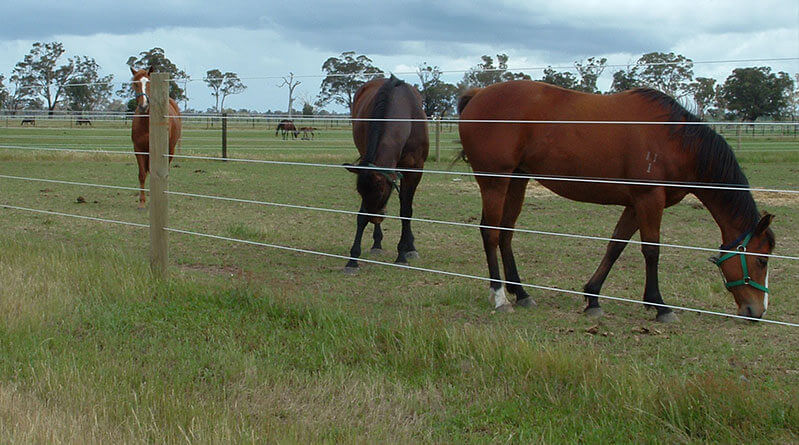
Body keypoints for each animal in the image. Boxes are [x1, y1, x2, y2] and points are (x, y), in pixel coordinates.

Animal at [130, 67, 183, 209]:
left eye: (150, 83)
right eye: (135, 84)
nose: (143, 106)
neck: (146, 124)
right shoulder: (138, 149)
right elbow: (142, 174)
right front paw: (142, 202)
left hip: (170, 150)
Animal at [344, 75, 432, 270]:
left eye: (380, 192)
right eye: (360, 192)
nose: (375, 219)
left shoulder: (415, 170)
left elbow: (406, 211)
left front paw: (402, 254)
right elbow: (361, 214)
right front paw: (353, 259)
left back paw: (410, 246)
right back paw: (377, 243)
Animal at [460, 80, 780, 320]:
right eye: (761, 260)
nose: (757, 311)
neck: (675, 141)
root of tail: (478, 95)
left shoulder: (636, 204)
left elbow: (616, 246)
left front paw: (592, 298)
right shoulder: (649, 199)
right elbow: (651, 250)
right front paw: (660, 306)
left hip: (517, 180)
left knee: (506, 233)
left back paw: (522, 293)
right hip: (495, 181)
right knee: (490, 232)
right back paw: (500, 297)